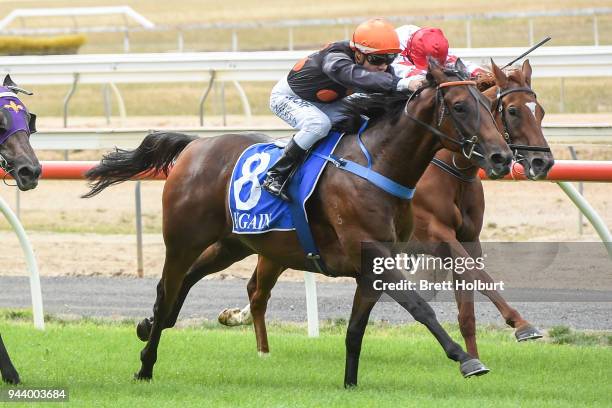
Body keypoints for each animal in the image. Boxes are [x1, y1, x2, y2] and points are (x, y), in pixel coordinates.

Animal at [83, 59, 512, 384]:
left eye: (489, 105)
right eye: (460, 106)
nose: (502, 157)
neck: (377, 164)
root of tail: (195, 145)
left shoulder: (372, 267)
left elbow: (355, 330)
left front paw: (350, 384)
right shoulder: (374, 254)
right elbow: (420, 307)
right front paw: (466, 359)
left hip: (232, 243)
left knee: (184, 282)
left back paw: (151, 323)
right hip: (183, 240)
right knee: (168, 286)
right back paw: (146, 364)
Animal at [220, 58, 556, 360]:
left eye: (539, 111)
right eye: (512, 111)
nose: (542, 162)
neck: (448, 169)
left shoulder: (468, 239)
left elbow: (468, 305)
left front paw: (474, 356)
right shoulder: (435, 236)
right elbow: (477, 274)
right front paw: (521, 324)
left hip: (271, 246)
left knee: (256, 290)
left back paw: (245, 329)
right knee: (256, 290)